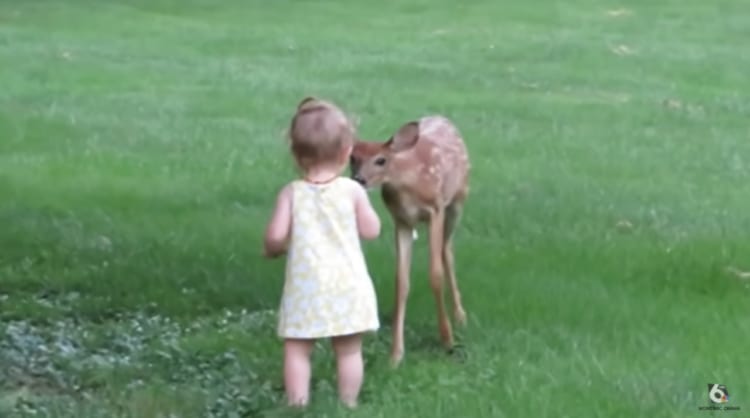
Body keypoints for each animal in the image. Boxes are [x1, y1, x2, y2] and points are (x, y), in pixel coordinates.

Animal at [349, 115, 470, 367]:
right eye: (352, 157)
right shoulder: (402, 220)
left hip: (457, 201)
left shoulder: (435, 210)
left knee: (447, 250)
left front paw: (447, 339)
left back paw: (460, 316)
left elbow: (435, 274)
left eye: (381, 160)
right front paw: (396, 354)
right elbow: (401, 281)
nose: (359, 179)